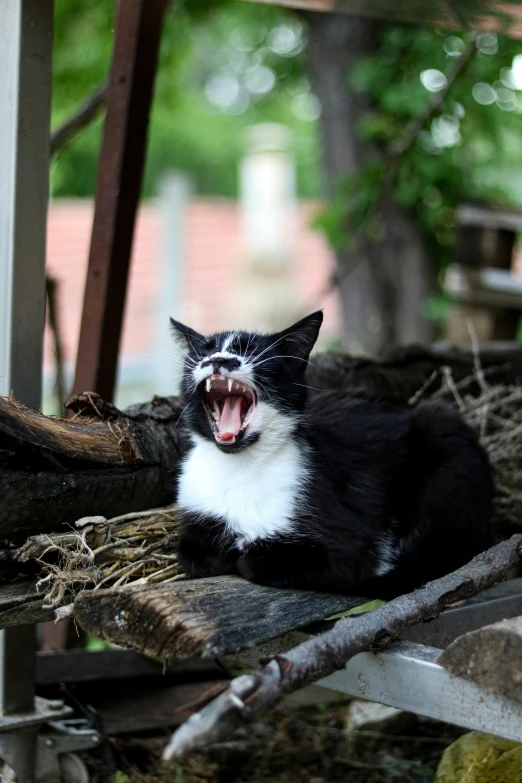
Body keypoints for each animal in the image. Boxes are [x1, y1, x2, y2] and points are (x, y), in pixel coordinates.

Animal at [171, 310, 492, 596]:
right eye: (203, 352)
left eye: (251, 351)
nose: (218, 360)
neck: (239, 465)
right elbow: (192, 554)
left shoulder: (348, 547)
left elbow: (261, 561)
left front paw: (246, 551)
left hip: (442, 428)